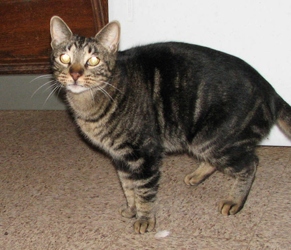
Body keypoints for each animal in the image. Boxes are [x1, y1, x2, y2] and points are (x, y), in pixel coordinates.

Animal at [49, 15, 291, 233]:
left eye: (93, 60)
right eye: (64, 58)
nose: (75, 74)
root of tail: (270, 90)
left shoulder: (145, 154)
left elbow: (144, 191)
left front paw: (145, 219)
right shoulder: (121, 157)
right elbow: (128, 187)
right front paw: (132, 208)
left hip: (215, 139)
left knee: (251, 164)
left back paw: (235, 200)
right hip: (205, 141)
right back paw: (197, 175)